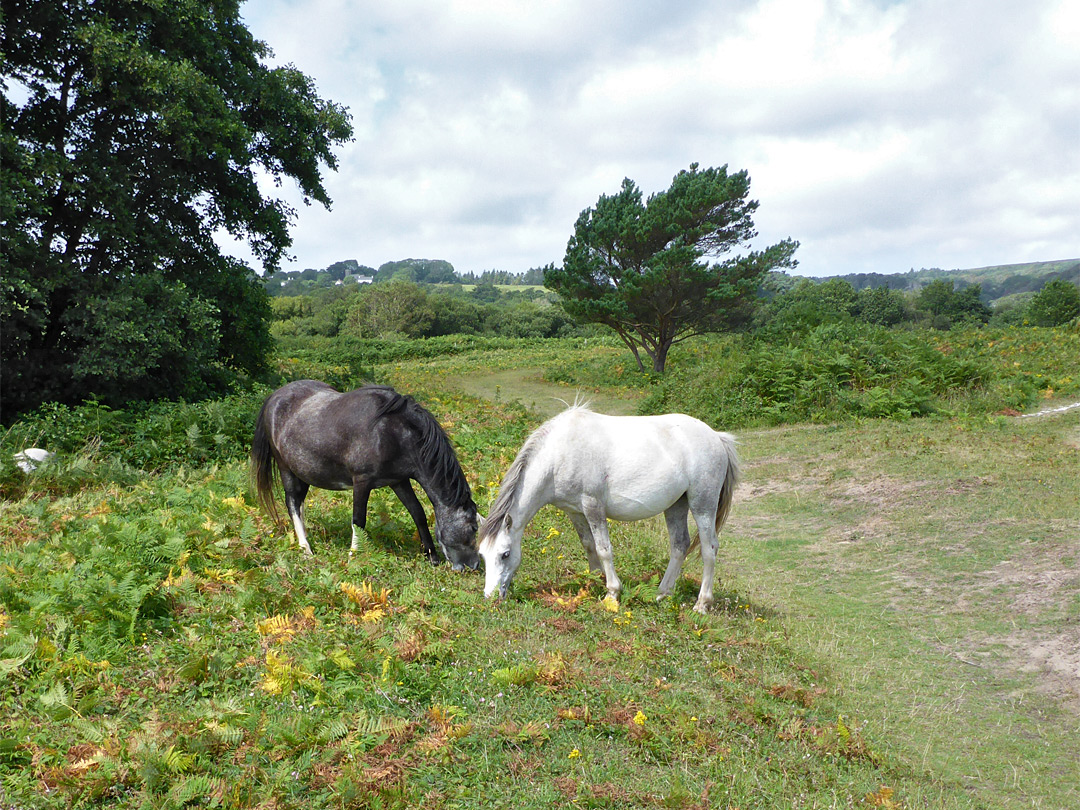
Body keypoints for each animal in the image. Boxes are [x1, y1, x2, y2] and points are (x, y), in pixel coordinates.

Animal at [250, 382, 479, 565]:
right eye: (474, 528)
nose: (473, 565)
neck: (392, 431)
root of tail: (274, 397)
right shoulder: (362, 481)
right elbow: (358, 520)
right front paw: (353, 555)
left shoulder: (399, 481)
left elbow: (418, 513)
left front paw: (431, 556)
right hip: (286, 469)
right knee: (292, 503)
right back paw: (305, 548)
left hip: (304, 472)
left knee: (299, 503)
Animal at [483, 406, 743, 613]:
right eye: (483, 555)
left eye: (505, 554)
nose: (490, 596)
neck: (560, 454)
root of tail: (717, 437)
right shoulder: (575, 511)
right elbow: (589, 545)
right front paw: (593, 582)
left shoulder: (593, 506)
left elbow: (604, 549)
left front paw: (612, 593)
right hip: (676, 505)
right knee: (680, 545)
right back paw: (662, 593)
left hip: (702, 506)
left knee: (709, 549)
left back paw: (702, 603)